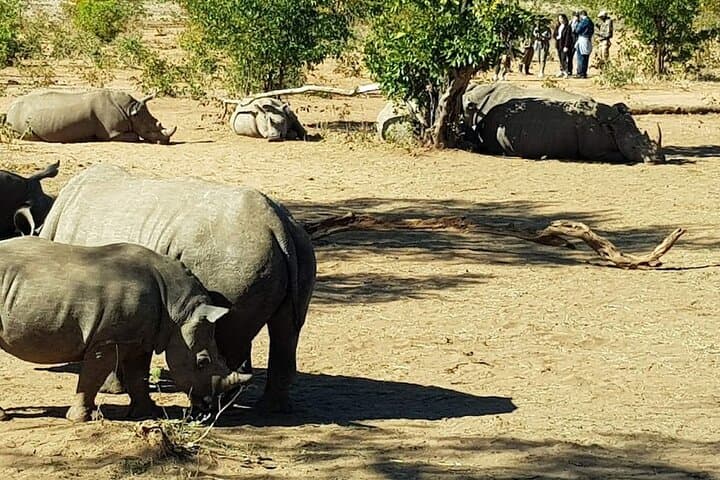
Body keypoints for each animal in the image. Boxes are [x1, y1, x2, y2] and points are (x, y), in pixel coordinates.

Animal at [0, 237, 252, 423]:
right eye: (202, 362)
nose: (209, 407)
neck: (178, 308)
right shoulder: (107, 340)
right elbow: (92, 377)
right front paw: (83, 419)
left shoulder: (140, 339)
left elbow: (138, 375)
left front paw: (149, 413)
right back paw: (4, 418)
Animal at [5, 90, 177, 144]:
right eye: (150, 129)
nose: (166, 142)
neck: (131, 110)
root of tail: (9, 109)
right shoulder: (113, 134)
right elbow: (134, 136)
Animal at [40, 165, 316, 413]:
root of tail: (277, 225)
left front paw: (112, 390)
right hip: (299, 248)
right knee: (286, 330)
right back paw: (270, 409)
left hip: (231, 259)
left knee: (227, 333)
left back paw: (215, 409)